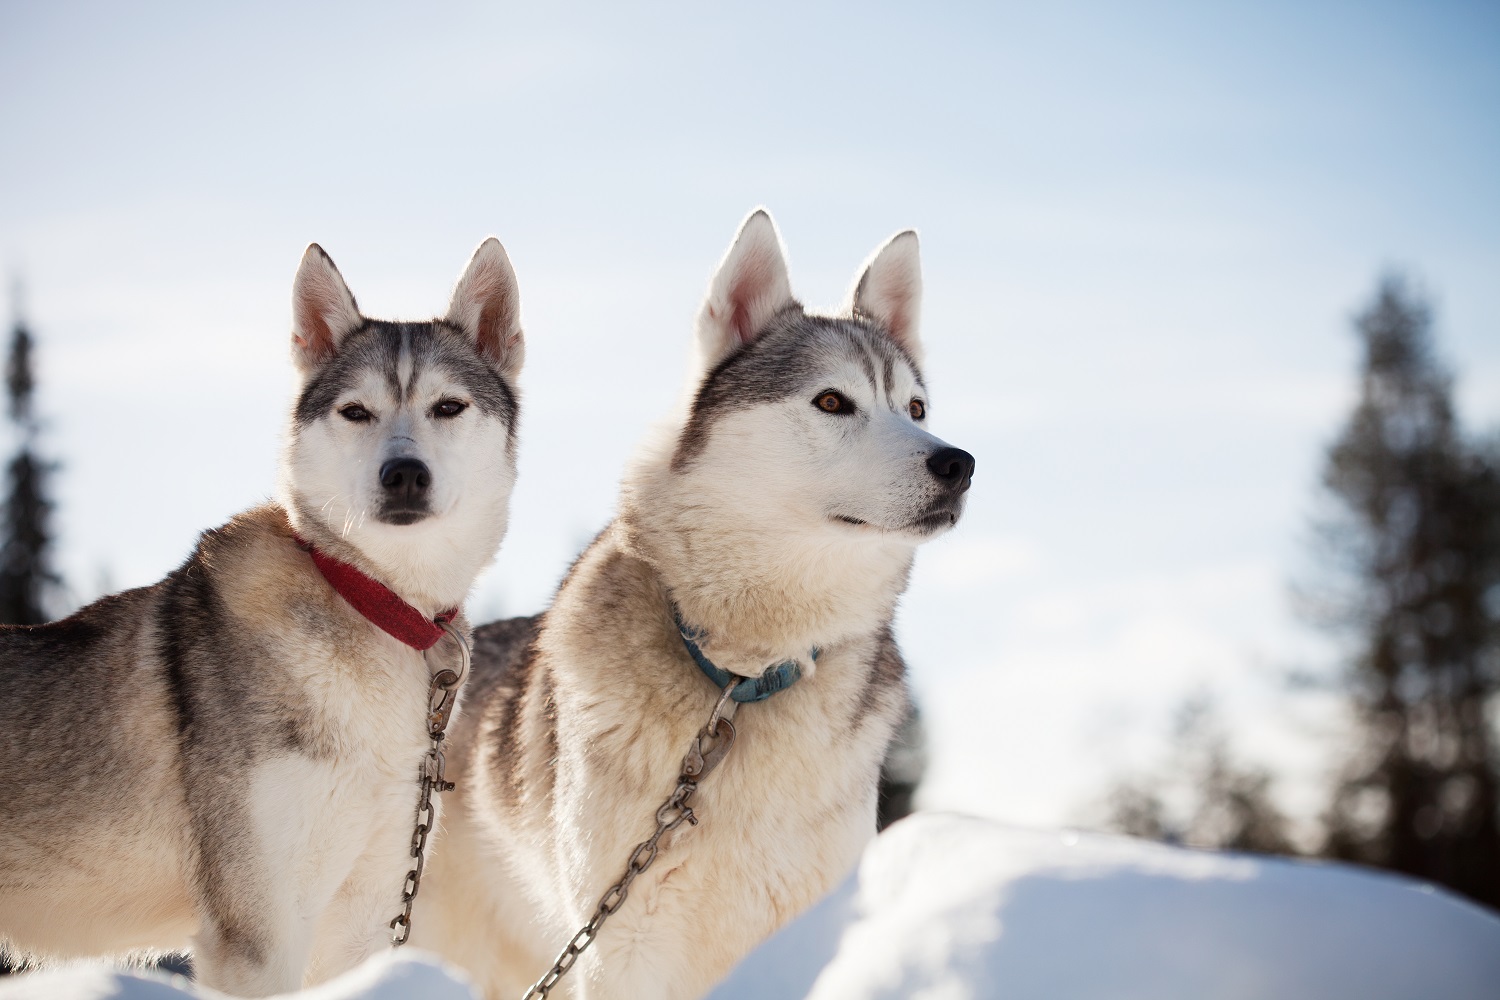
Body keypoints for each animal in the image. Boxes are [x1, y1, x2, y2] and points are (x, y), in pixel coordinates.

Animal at [0, 239, 528, 995]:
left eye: (447, 406)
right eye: (356, 412)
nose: (403, 474)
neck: (371, 603)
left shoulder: (363, 917)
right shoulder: (258, 931)